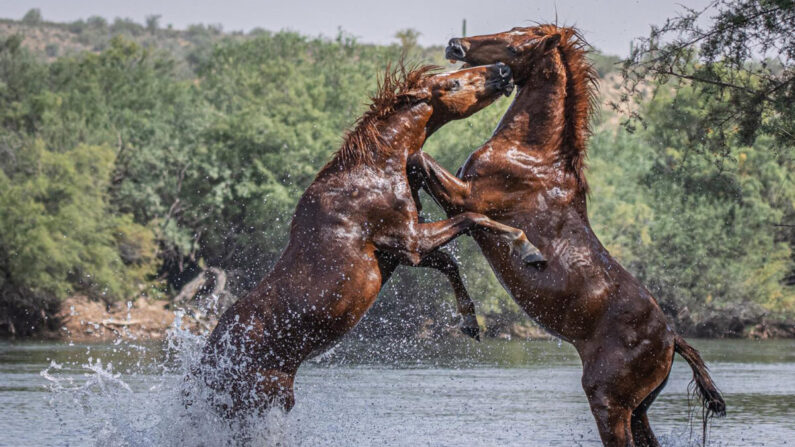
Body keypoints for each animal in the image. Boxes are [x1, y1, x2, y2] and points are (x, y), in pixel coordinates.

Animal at [202, 62, 544, 416]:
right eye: (454, 84)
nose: (502, 70)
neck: (378, 168)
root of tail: (208, 364)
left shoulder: (399, 251)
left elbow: (449, 261)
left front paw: (470, 322)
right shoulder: (408, 241)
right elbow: (472, 219)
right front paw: (528, 247)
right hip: (263, 398)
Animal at [414, 26, 732, 446]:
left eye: (514, 43)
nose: (456, 45)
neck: (531, 152)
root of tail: (672, 340)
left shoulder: (464, 196)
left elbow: (418, 159)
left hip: (609, 404)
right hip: (638, 410)